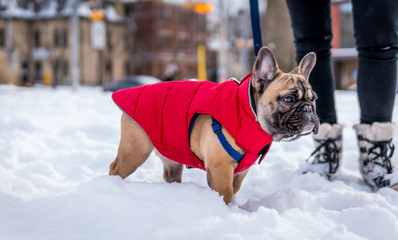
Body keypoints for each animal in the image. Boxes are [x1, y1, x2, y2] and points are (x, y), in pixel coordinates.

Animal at [109, 46, 320, 202]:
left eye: (314, 99)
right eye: (289, 99)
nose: (308, 109)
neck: (248, 112)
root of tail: (131, 90)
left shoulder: (240, 172)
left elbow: (234, 190)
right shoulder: (220, 168)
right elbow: (226, 193)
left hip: (171, 157)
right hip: (135, 150)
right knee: (115, 169)